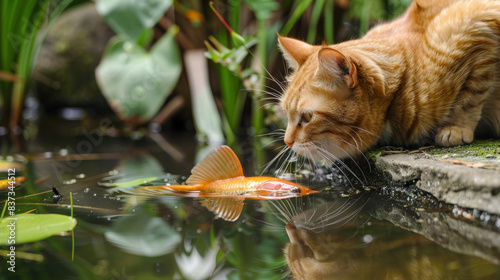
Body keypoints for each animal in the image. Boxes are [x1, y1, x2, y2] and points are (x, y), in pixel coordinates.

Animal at [280, 0, 498, 161]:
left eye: (308, 117)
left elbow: (471, 96)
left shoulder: (481, 21)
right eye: (287, 114)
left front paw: (457, 127)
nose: (286, 142)